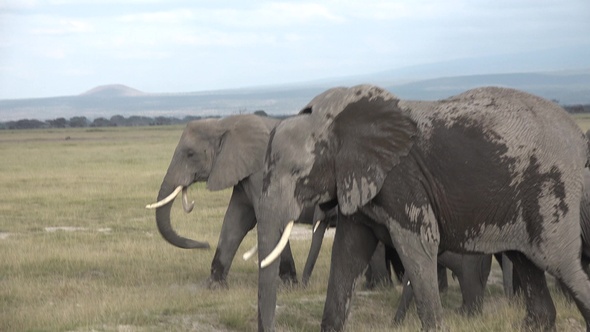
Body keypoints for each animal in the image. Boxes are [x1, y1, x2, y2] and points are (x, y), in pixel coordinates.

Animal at [146, 114, 302, 288]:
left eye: (190, 154)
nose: (206, 245)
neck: (223, 124)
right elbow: (235, 220)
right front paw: (214, 285)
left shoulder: (263, 171)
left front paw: (289, 284)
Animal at [254, 86, 590, 332]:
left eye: (299, 174)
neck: (330, 118)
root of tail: (575, 133)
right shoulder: (357, 178)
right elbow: (348, 253)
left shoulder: (402, 178)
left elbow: (417, 245)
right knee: (526, 261)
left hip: (550, 188)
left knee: (560, 263)